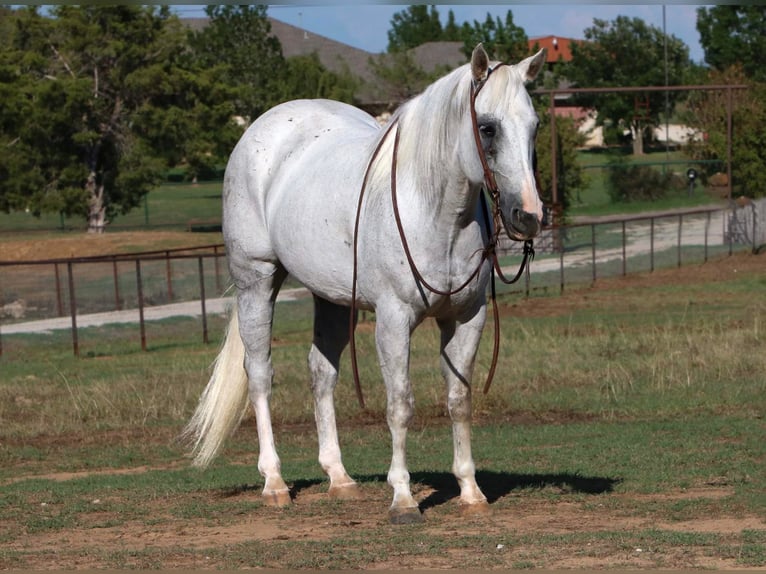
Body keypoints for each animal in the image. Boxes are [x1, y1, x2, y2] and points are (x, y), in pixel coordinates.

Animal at [185, 46, 544, 528]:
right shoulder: (393, 321)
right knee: (259, 375)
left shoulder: (467, 318)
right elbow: (400, 405)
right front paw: (404, 498)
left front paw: (470, 492)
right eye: (487, 127)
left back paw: (339, 478)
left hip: (332, 299)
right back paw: (274, 482)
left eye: (534, 125)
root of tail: (264, 127)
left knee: (321, 374)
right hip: (256, 280)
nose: (529, 216)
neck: (433, 211)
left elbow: (458, 400)